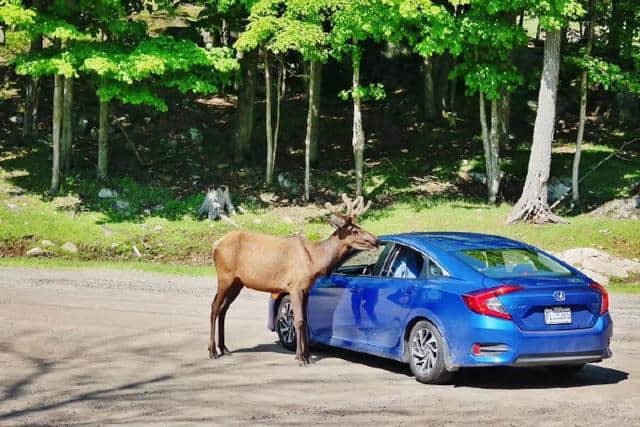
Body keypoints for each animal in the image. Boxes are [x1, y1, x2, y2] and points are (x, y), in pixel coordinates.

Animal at [210, 194, 378, 364]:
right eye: (354, 231)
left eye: (359, 226)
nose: (375, 240)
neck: (315, 260)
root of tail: (215, 244)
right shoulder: (294, 286)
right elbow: (299, 320)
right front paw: (300, 357)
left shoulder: (306, 289)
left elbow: (305, 321)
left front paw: (308, 356)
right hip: (224, 276)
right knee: (214, 307)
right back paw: (213, 351)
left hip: (237, 282)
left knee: (223, 309)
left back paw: (224, 348)